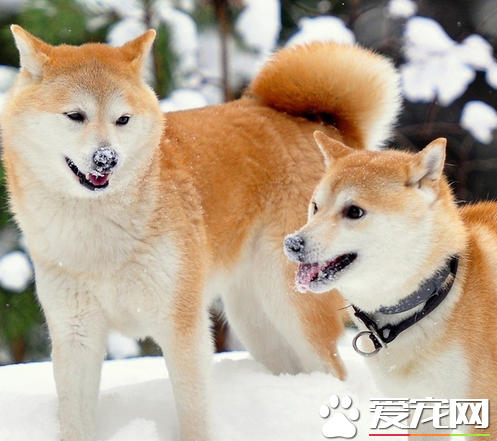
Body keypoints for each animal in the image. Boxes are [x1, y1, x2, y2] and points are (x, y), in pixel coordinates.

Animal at [0, 24, 400, 440]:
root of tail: (324, 127)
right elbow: (75, 420)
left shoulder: (182, 326)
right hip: (257, 323)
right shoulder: (75, 334)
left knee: (334, 372)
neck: (99, 237)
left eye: (122, 119)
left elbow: (193, 413)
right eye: (75, 115)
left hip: (292, 309)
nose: (106, 159)